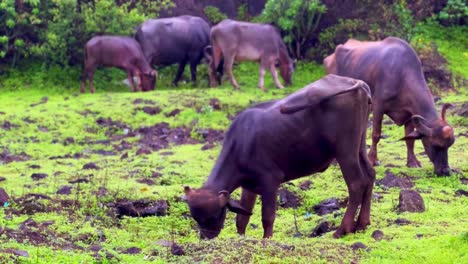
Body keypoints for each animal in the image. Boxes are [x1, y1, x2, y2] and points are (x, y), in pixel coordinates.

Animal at [185, 75, 374, 239]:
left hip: (345, 151)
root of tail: (356, 83)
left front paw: (267, 239)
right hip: (360, 145)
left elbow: (267, 218)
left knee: (356, 183)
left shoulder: (270, 181)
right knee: (370, 175)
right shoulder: (249, 186)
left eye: (214, 216)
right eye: (196, 219)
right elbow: (242, 219)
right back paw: (361, 224)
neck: (241, 144)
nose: (206, 238)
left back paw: (342, 229)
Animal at [324, 36, 456, 175]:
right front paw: (373, 160)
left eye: (449, 145)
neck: (401, 75)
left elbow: (410, 140)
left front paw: (412, 162)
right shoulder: (378, 107)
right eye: (435, 145)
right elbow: (376, 134)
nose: (445, 171)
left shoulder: (409, 113)